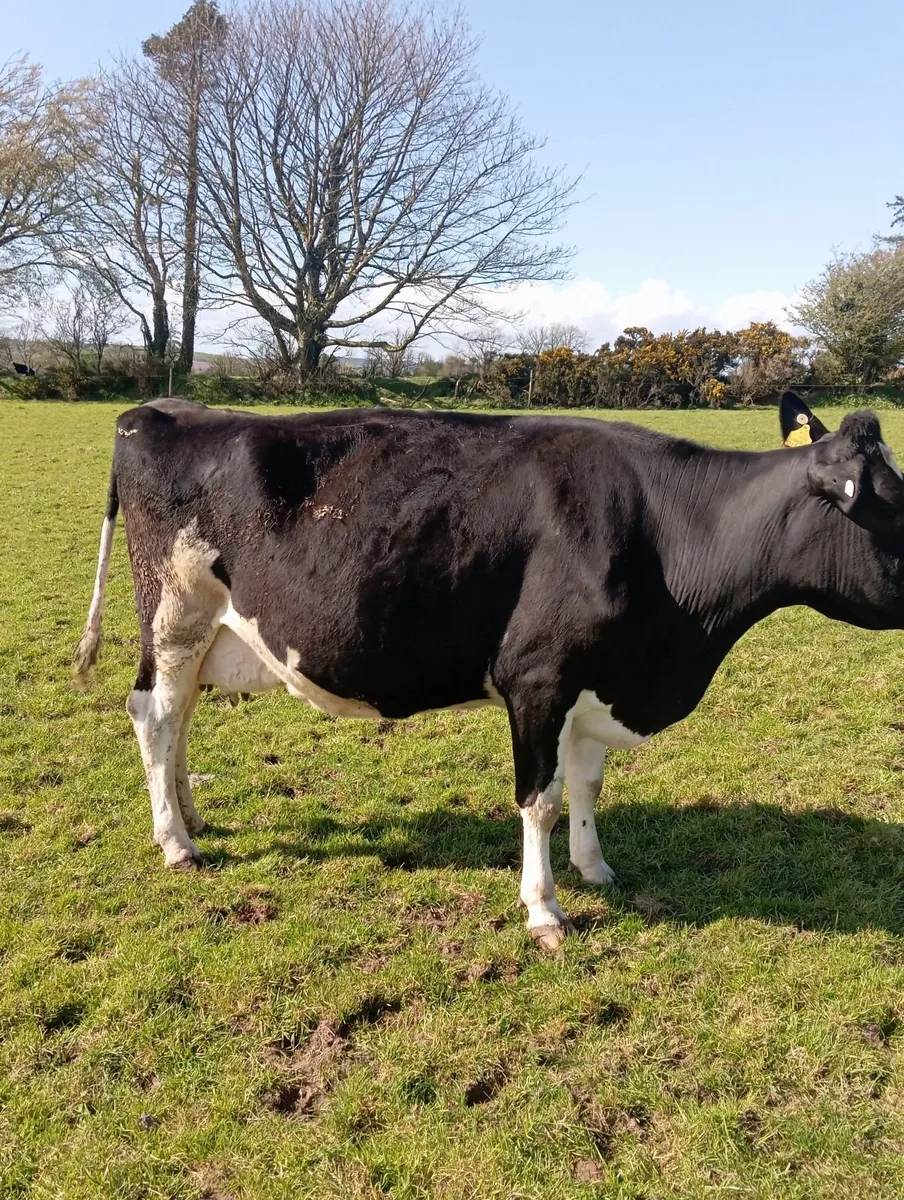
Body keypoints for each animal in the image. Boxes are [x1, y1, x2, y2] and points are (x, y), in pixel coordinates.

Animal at [74, 393, 904, 950]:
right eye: (892, 506)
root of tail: (157, 409)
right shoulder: (535, 678)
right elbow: (539, 800)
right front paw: (544, 909)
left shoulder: (594, 681)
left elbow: (586, 784)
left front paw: (595, 868)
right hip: (174, 611)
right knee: (154, 714)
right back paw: (177, 843)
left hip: (200, 631)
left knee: (179, 717)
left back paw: (191, 817)